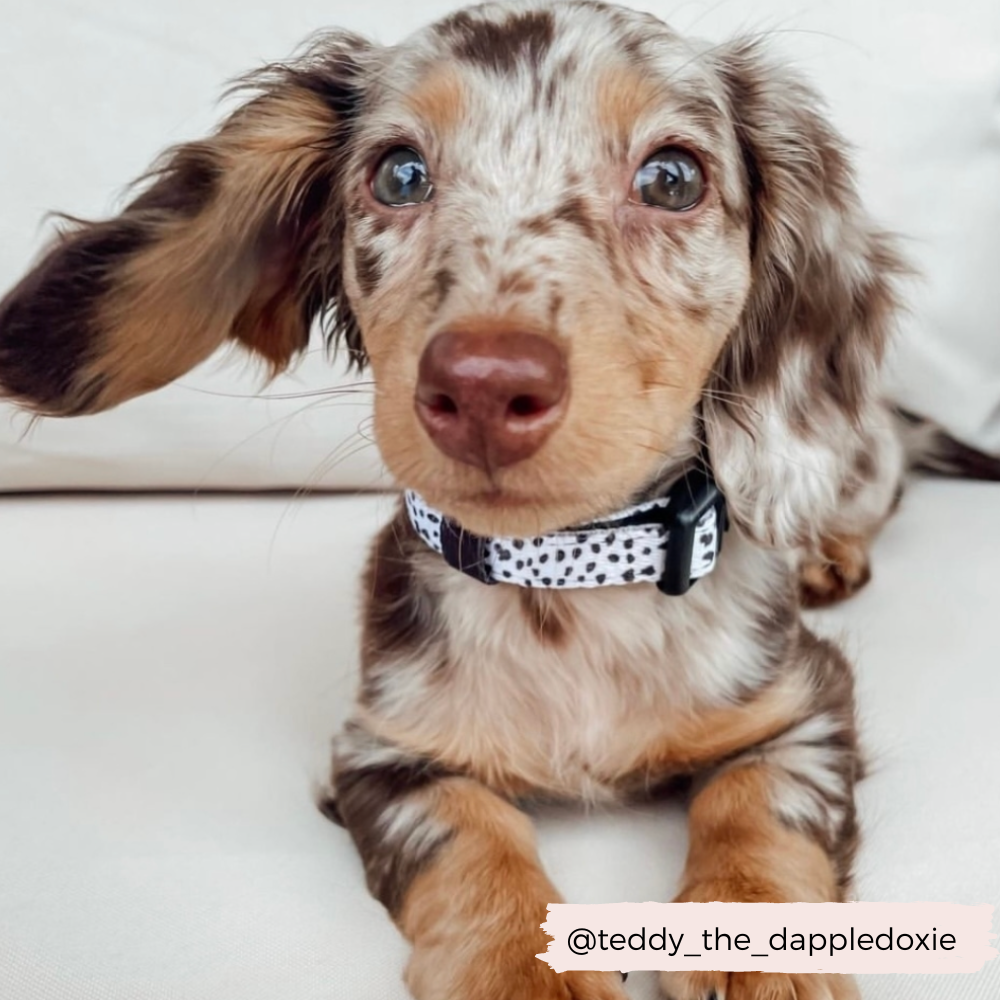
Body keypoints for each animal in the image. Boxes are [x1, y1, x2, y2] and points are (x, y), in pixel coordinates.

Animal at [1, 1, 992, 1000]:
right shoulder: (381, 750)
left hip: (856, 461)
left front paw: (757, 950)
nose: (483, 386)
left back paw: (830, 551)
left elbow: (759, 799)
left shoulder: (803, 705)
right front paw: (521, 966)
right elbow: (470, 838)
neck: (569, 581)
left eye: (673, 178)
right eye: (399, 173)